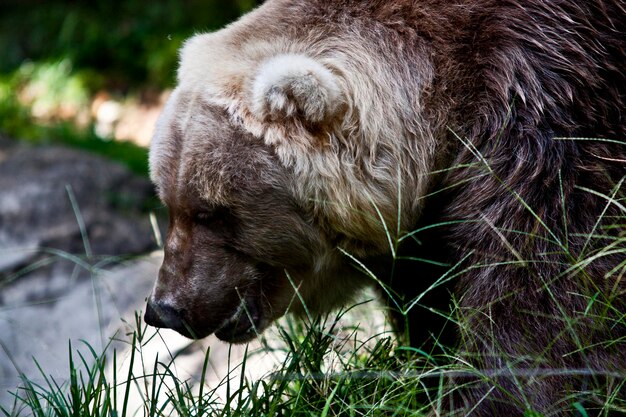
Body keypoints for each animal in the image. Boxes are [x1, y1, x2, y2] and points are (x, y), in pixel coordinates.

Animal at [144, 1, 620, 414]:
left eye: (210, 211)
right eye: (169, 204)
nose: (164, 309)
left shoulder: (551, 102)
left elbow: (543, 286)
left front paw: (497, 393)